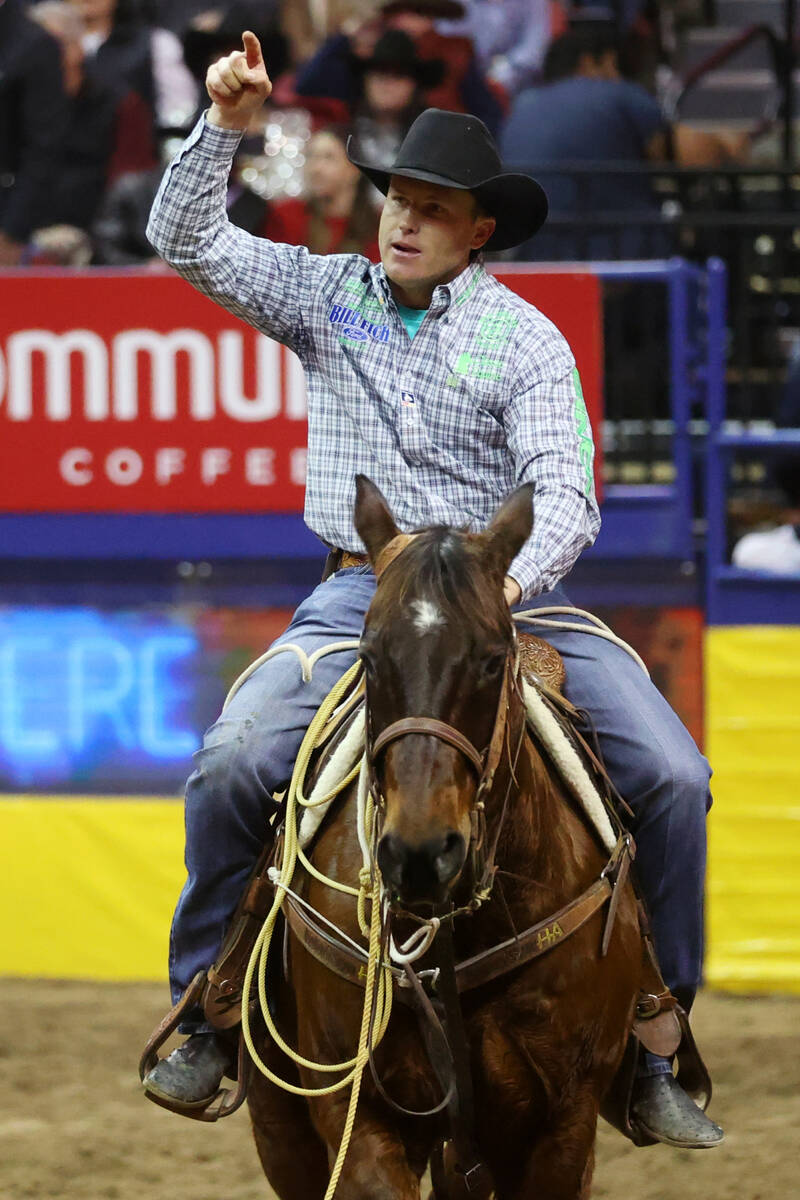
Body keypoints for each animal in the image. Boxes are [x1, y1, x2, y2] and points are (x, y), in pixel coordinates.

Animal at [250, 480, 642, 1200]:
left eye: (492, 658)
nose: (419, 852)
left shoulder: (564, 1128)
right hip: (282, 1129)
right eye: (368, 656)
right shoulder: (357, 1116)